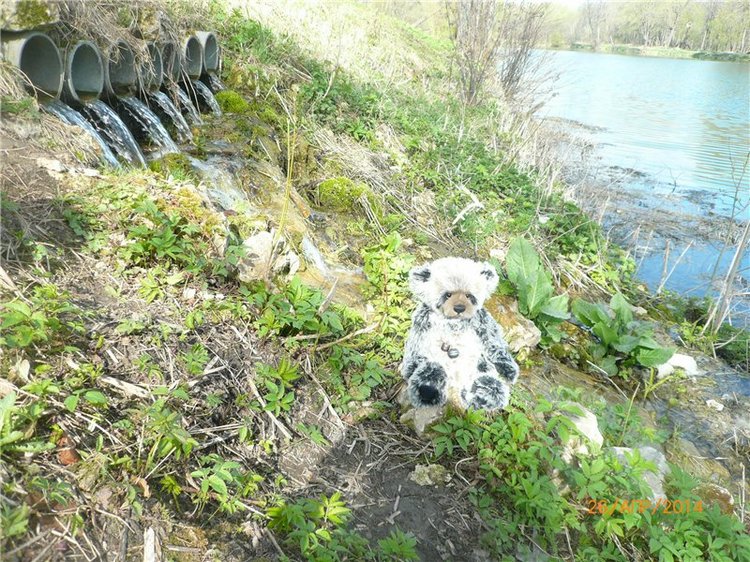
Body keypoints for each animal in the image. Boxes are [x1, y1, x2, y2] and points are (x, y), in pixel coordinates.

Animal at [400, 257, 519, 411]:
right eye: (448, 294)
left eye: (469, 295)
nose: (459, 308)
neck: (454, 322)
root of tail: (456, 382)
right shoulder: (423, 321)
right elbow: (415, 347)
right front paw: (410, 368)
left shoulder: (482, 321)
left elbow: (493, 341)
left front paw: (509, 369)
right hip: (435, 364)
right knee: (431, 370)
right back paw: (428, 390)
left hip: (478, 367)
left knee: (491, 384)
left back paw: (482, 393)